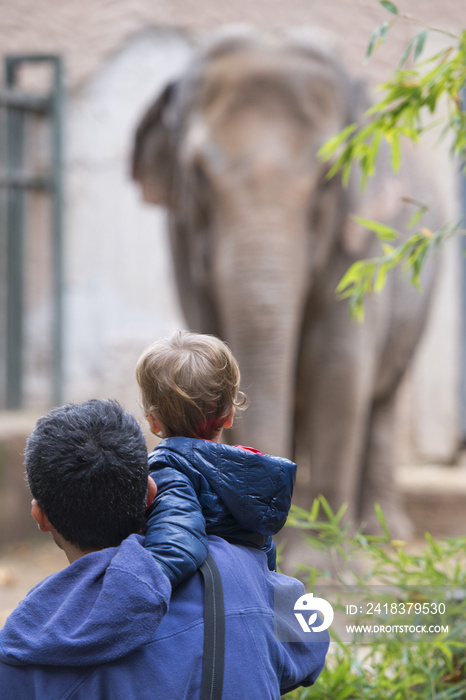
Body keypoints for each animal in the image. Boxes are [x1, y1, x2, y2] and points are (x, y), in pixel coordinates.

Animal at [132, 28, 440, 536]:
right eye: (198, 175)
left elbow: (337, 363)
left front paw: (329, 552)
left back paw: (382, 533)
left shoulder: (358, 237)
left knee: (384, 393)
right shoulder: (181, 238)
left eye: (329, 177)